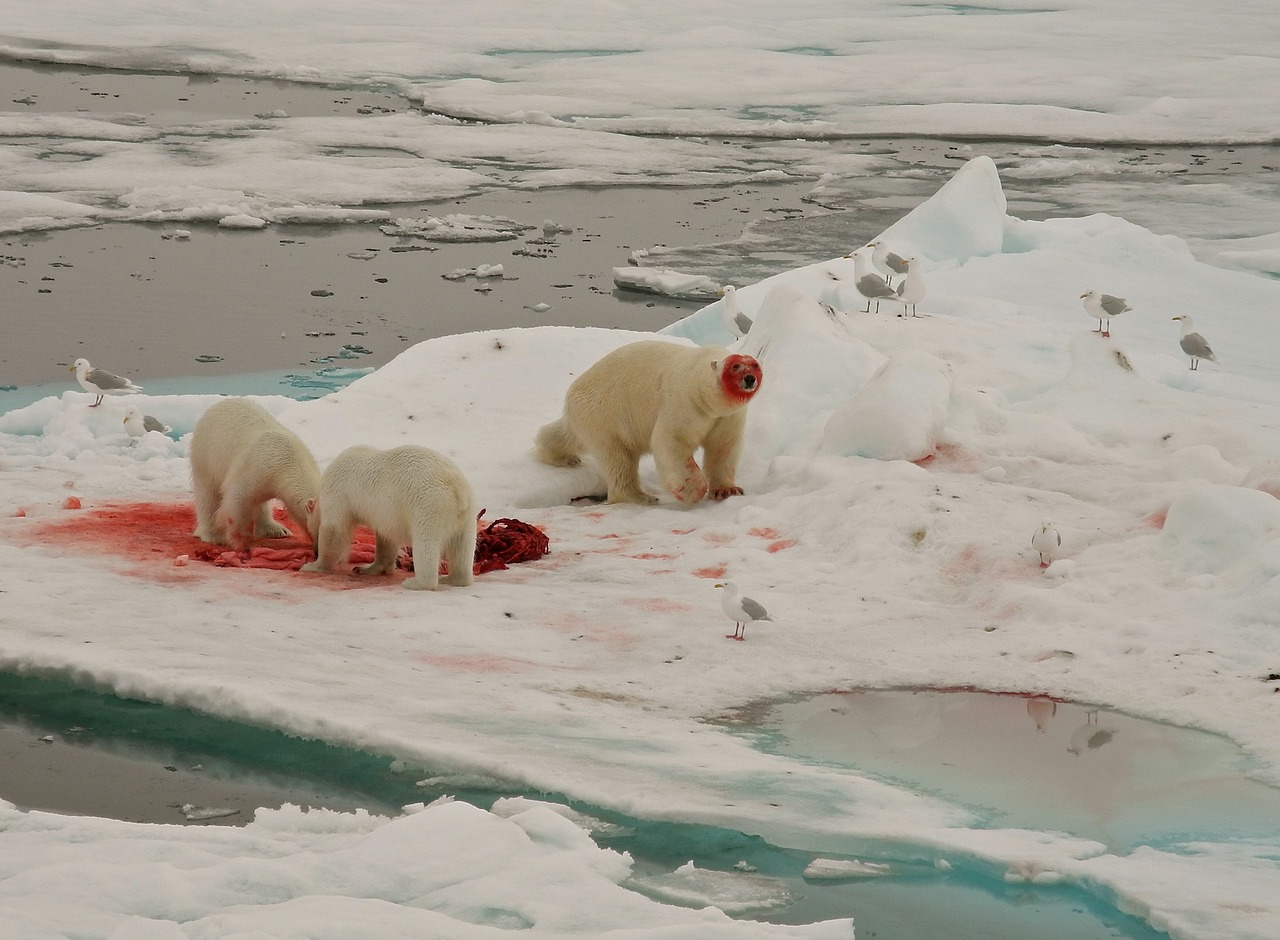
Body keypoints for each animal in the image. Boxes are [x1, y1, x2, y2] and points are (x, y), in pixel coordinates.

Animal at [188, 397, 320, 545]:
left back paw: (275, 530)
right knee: (207, 495)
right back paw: (213, 535)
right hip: (205, 457)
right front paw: (235, 537)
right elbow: (236, 498)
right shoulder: (255, 467)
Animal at [302, 440, 478, 589]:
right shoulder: (388, 517)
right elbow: (387, 539)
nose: (314, 551)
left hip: (429, 504)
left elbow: (334, 530)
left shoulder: (338, 493)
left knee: (426, 542)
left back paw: (415, 582)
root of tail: (457, 487)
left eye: (311, 532)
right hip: (467, 514)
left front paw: (313, 565)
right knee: (462, 546)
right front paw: (366, 568)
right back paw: (453, 578)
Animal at [532, 343, 757, 507]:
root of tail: (573, 394)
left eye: (754, 365)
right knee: (618, 459)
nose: (749, 379)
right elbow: (670, 440)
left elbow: (724, 446)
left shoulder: (728, 417)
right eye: (734, 366)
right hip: (605, 415)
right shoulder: (682, 402)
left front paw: (727, 490)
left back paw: (563, 457)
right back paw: (641, 496)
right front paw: (692, 489)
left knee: (566, 436)